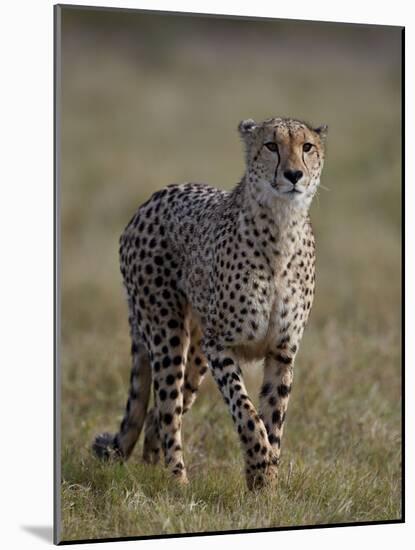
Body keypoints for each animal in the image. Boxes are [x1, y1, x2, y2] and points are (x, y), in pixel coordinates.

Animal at [93, 116, 328, 492]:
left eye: (307, 147)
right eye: (271, 145)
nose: (294, 174)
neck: (280, 229)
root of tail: (153, 198)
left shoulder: (281, 350)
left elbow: (274, 418)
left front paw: (266, 485)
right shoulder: (221, 344)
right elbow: (247, 413)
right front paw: (259, 462)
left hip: (196, 355)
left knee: (158, 415)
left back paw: (152, 469)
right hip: (168, 335)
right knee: (167, 410)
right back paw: (178, 483)